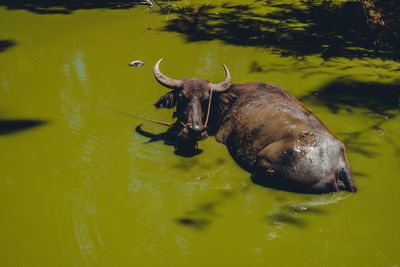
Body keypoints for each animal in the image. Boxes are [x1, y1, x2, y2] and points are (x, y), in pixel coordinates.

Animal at [152, 58, 356, 194]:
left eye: (205, 100)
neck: (228, 103)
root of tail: (339, 163)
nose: (195, 130)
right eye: (181, 98)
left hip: (263, 163)